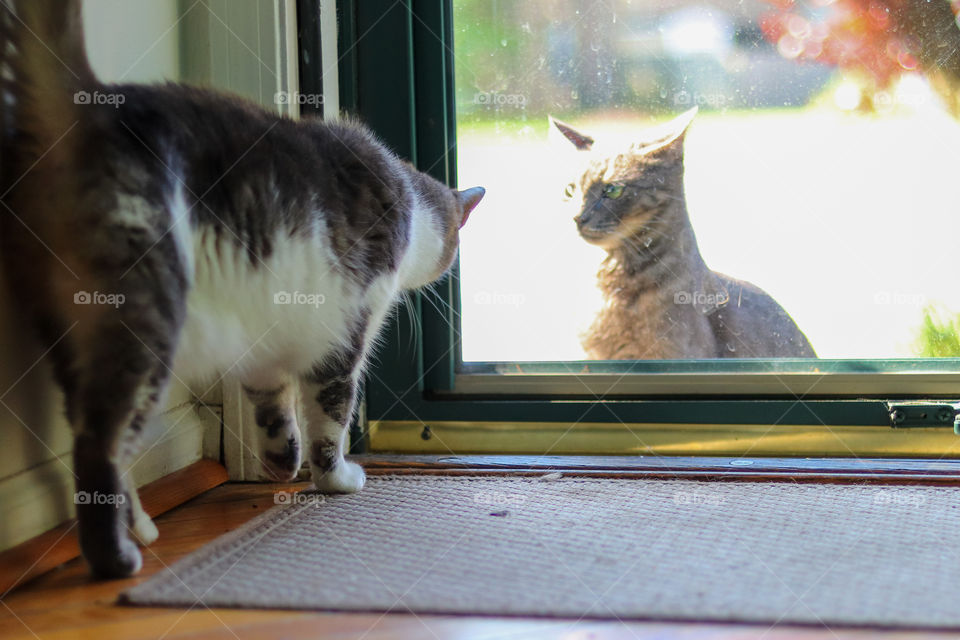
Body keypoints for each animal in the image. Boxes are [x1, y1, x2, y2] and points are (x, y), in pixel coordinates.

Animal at [0, 0, 480, 576]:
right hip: (145, 320)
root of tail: (86, 104)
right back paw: (117, 558)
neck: (406, 195)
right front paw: (336, 479)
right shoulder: (346, 332)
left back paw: (141, 529)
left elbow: (274, 410)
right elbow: (330, 418)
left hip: (73, 337)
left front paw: (281, 464)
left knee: (90, 433)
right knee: (101, 441)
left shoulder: (266, 343)